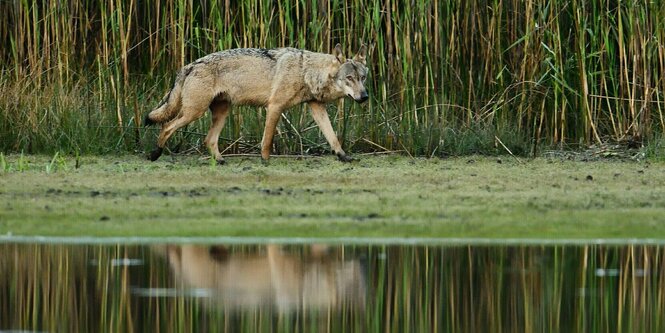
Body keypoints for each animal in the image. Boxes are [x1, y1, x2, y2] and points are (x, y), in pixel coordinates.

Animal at [143, 43, 368, 163]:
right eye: (349, 78)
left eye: (363, 78)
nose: (365, 96)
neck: (306, 71)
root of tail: (189, 65)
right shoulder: (274, 107)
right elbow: (267, 140)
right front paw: (265, 161)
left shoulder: (316, 107)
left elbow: (333, 137)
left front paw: (343, 157)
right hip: (194, 113)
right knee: (166, 126)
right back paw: (155, 154)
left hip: (221, 112)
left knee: (208, 139)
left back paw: (220, 161)